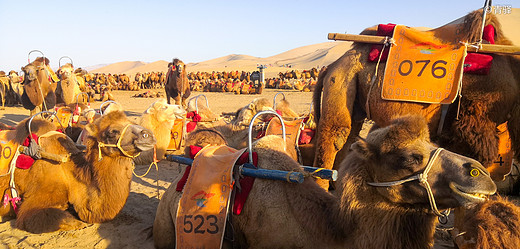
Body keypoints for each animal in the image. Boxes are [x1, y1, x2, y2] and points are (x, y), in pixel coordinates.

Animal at [310, 10, 520, 189]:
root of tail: (332, 65)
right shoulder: (473, 125)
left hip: (354, 100)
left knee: (348, 139)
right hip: (340, 81)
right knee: (335, 137)